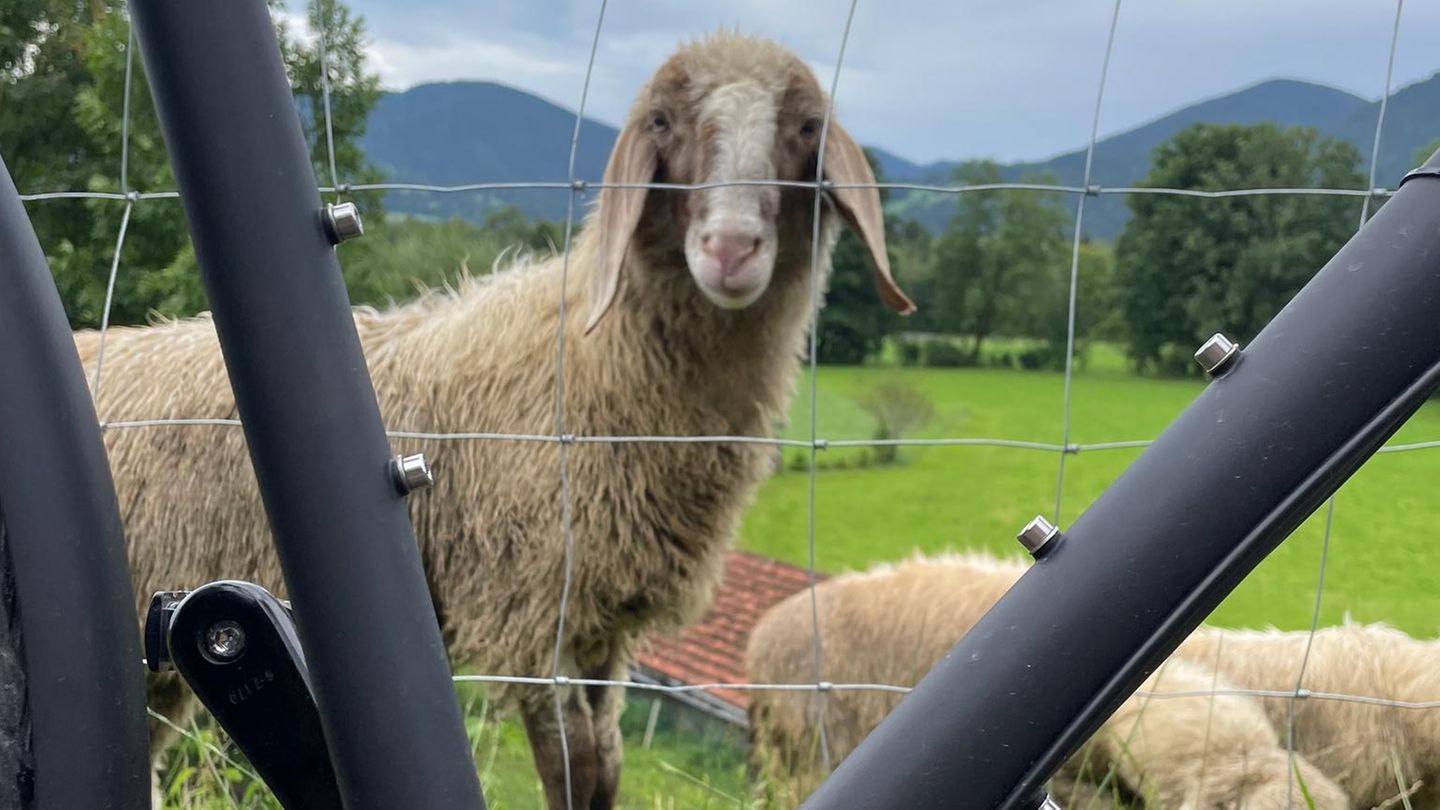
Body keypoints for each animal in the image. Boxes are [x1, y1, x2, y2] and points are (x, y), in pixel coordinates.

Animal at [75, 31, 913, 810]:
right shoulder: (531, 606)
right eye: (664, 121)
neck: (591, 358)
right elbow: (573, 768)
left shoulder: (602, 625)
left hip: (157, 658)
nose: (730, 249)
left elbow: (608, 764)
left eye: (807, 126)